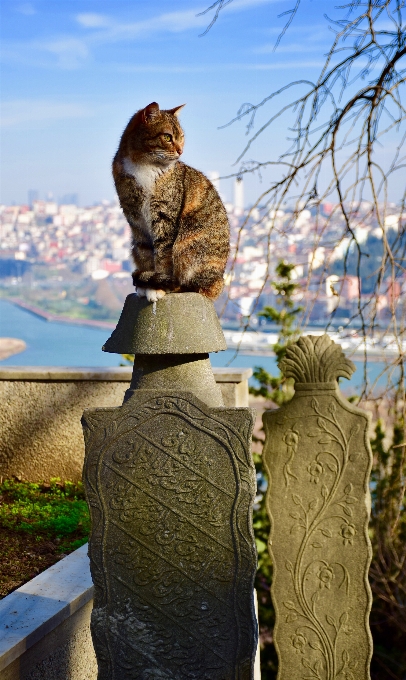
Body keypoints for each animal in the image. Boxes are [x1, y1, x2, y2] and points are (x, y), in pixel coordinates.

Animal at [112, 100, 230, 300]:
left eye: (181, 137)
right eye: (167, 137)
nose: (180, 150)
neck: (143, 165)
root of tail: (219, 282)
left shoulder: (164, 216)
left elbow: (162, 256)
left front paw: (157, 286)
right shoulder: (136, 220)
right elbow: (145, 254)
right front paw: (148, 283)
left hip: (186, 244)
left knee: (189, 284)